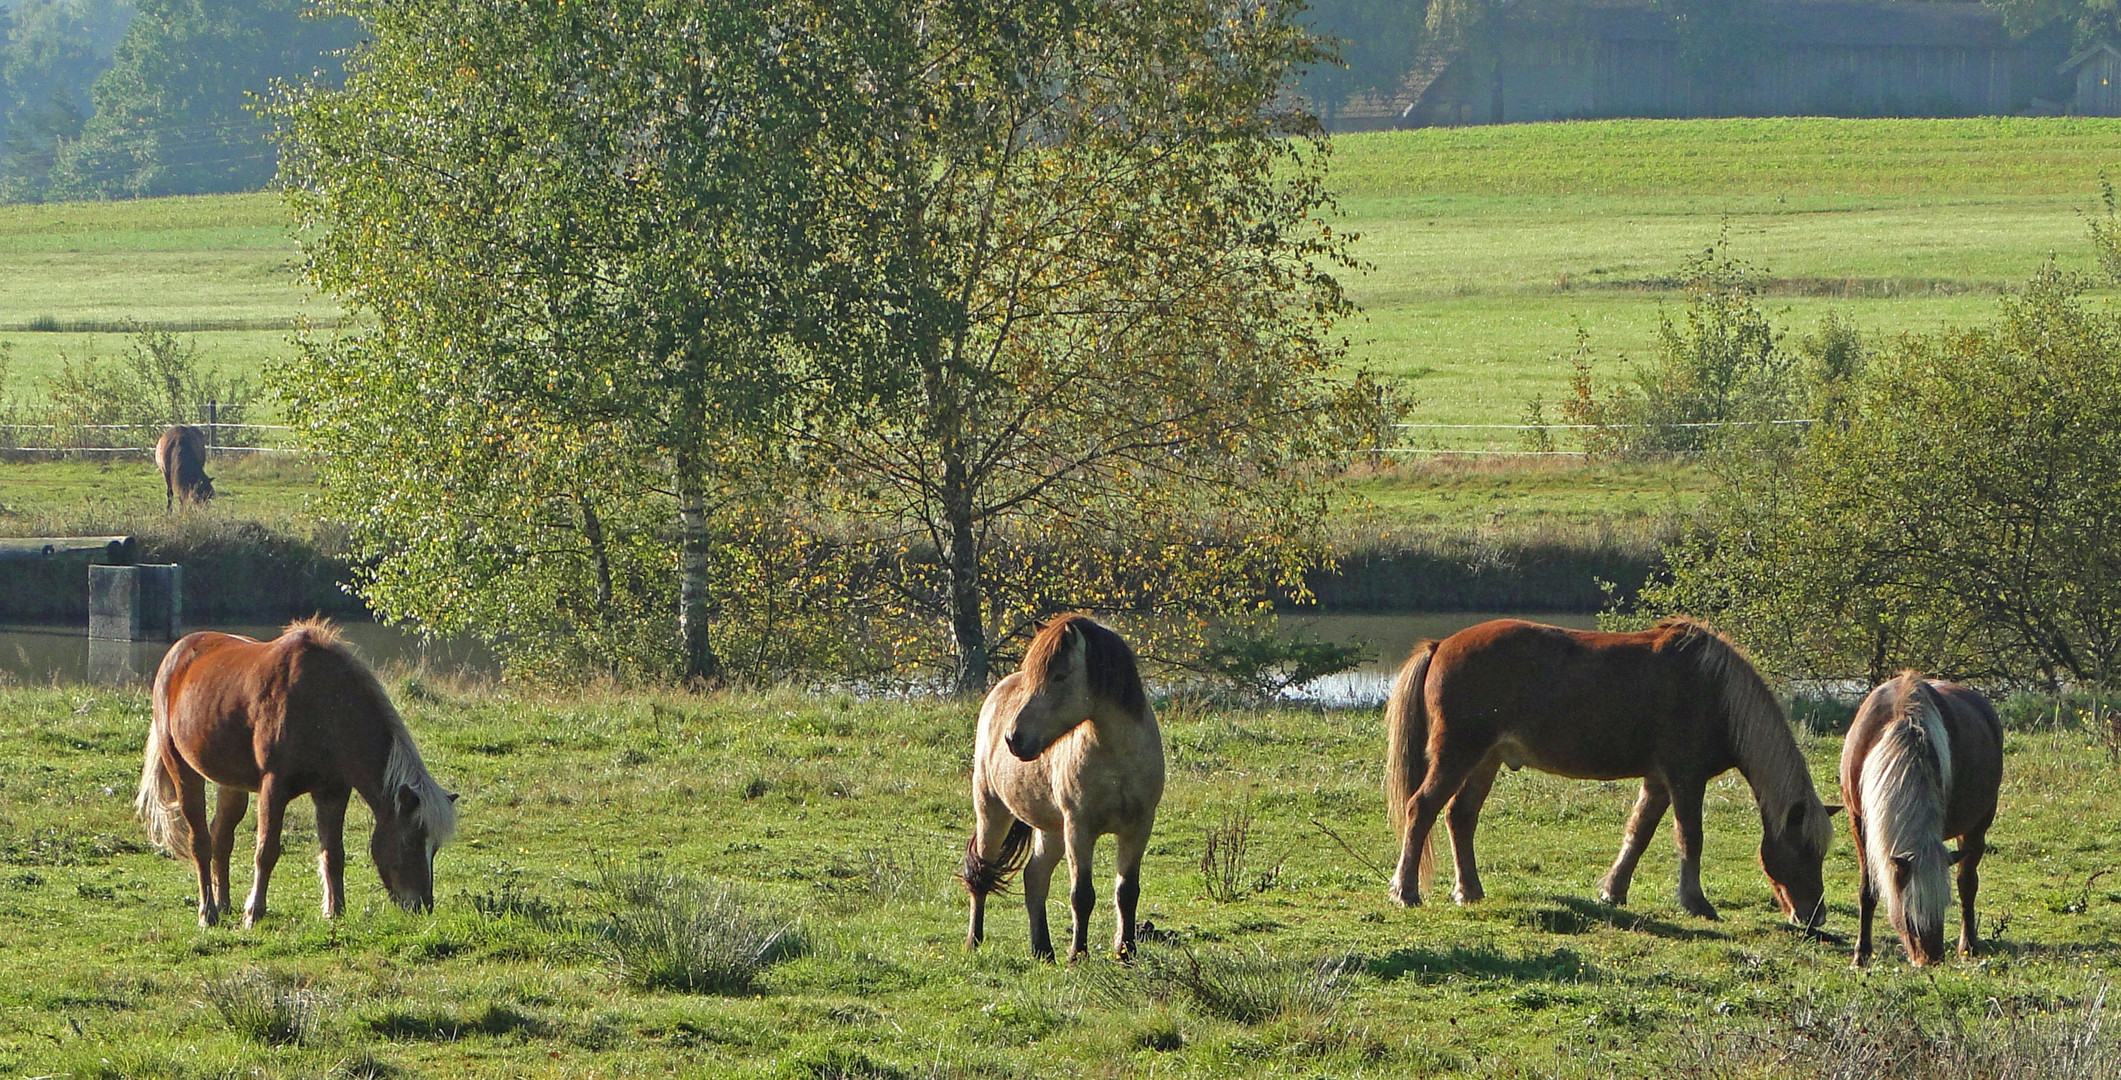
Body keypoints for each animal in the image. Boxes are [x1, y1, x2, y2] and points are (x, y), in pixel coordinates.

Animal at [141, 619, 460, 929]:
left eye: (434, 847)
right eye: (410, 841)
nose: (422, 906)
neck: (321, 703)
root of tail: (179, 651)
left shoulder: (333, 792)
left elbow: (333, 853)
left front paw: (335, 911)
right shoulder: (274, 787)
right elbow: (266, 851)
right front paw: (254, 914)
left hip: (231, 784)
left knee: (221, 838)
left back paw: (223, 904)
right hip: (182, 770)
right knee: (201, 842)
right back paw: (208, 913)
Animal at [962, 615, 1162, 959]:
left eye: (1059, 676)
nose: (1014, 739)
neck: (1117, 759)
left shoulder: (1138, 827)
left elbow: (1126, 891)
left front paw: (1125, 952)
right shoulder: (1079, 827)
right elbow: (1081, 895)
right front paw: (1077, 955)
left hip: (1052, 830)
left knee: (1034, 876)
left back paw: (1042, 949)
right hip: (992, 812)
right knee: (981, 874)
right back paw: (974, 940)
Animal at [1391, 619, 1841, 920]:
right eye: (1803, 849)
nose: (1814, 918)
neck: (1715, 691)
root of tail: (1441, 644)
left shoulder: (1659, 781)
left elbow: (1638, 835)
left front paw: (1613, 892)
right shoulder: (1685, 779)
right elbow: (1690, 839)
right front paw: (1696, 902)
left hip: (1485, 760)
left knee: (1459, 817)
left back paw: (1469, 891)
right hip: (1457, 755)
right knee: (1422, 809)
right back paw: (1406, 892)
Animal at [1841, 674, 2002, 967]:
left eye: (1942, 905)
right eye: (1908, 912)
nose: (1932, 959)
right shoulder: (1858, 820)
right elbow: (1868, 890)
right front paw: (1861, 955)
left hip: (1977, 827)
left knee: (1967, 883)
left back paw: (1968, 945)